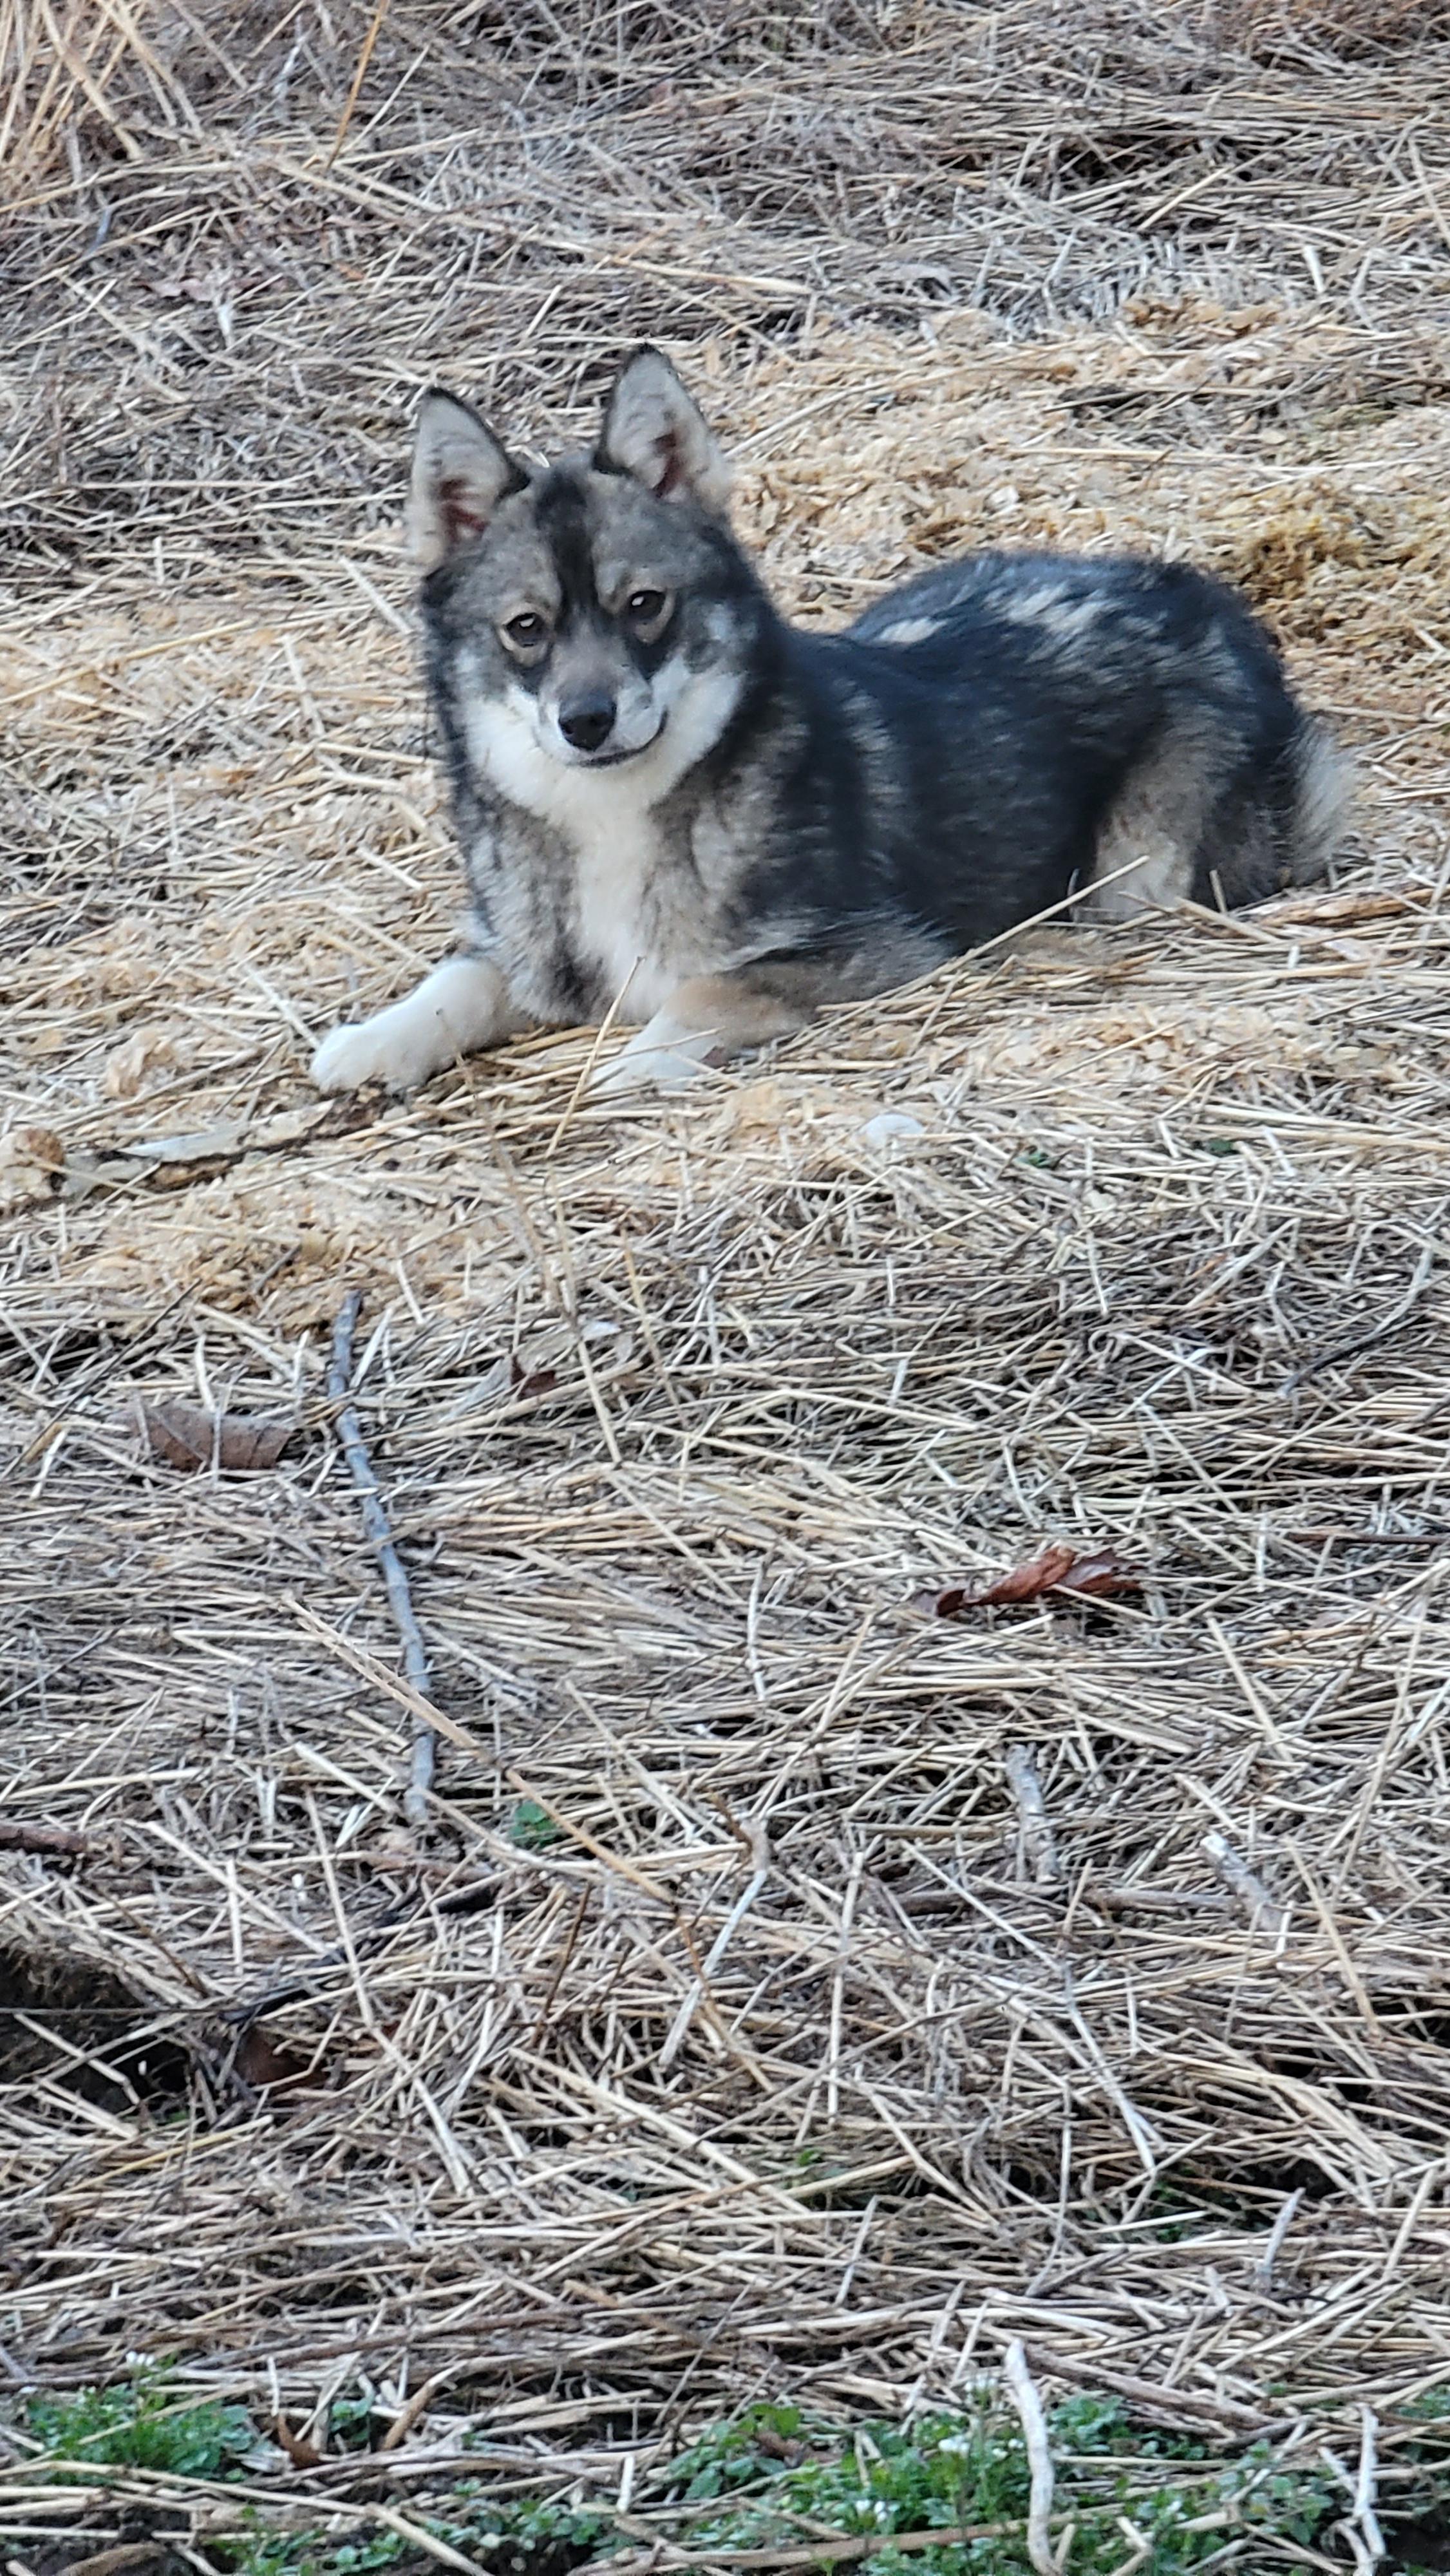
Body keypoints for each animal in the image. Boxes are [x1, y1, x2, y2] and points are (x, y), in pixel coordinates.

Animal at [311, 346, 1345, 1101]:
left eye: (644, 606)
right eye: (526, 628)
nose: (587, 721)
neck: (620, 814)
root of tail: (1194, 592)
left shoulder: (883, 949)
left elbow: (709, 986)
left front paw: (638, 1061)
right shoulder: (523, 955)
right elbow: (455, 981)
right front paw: (372, 1040)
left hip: (1139, 872)